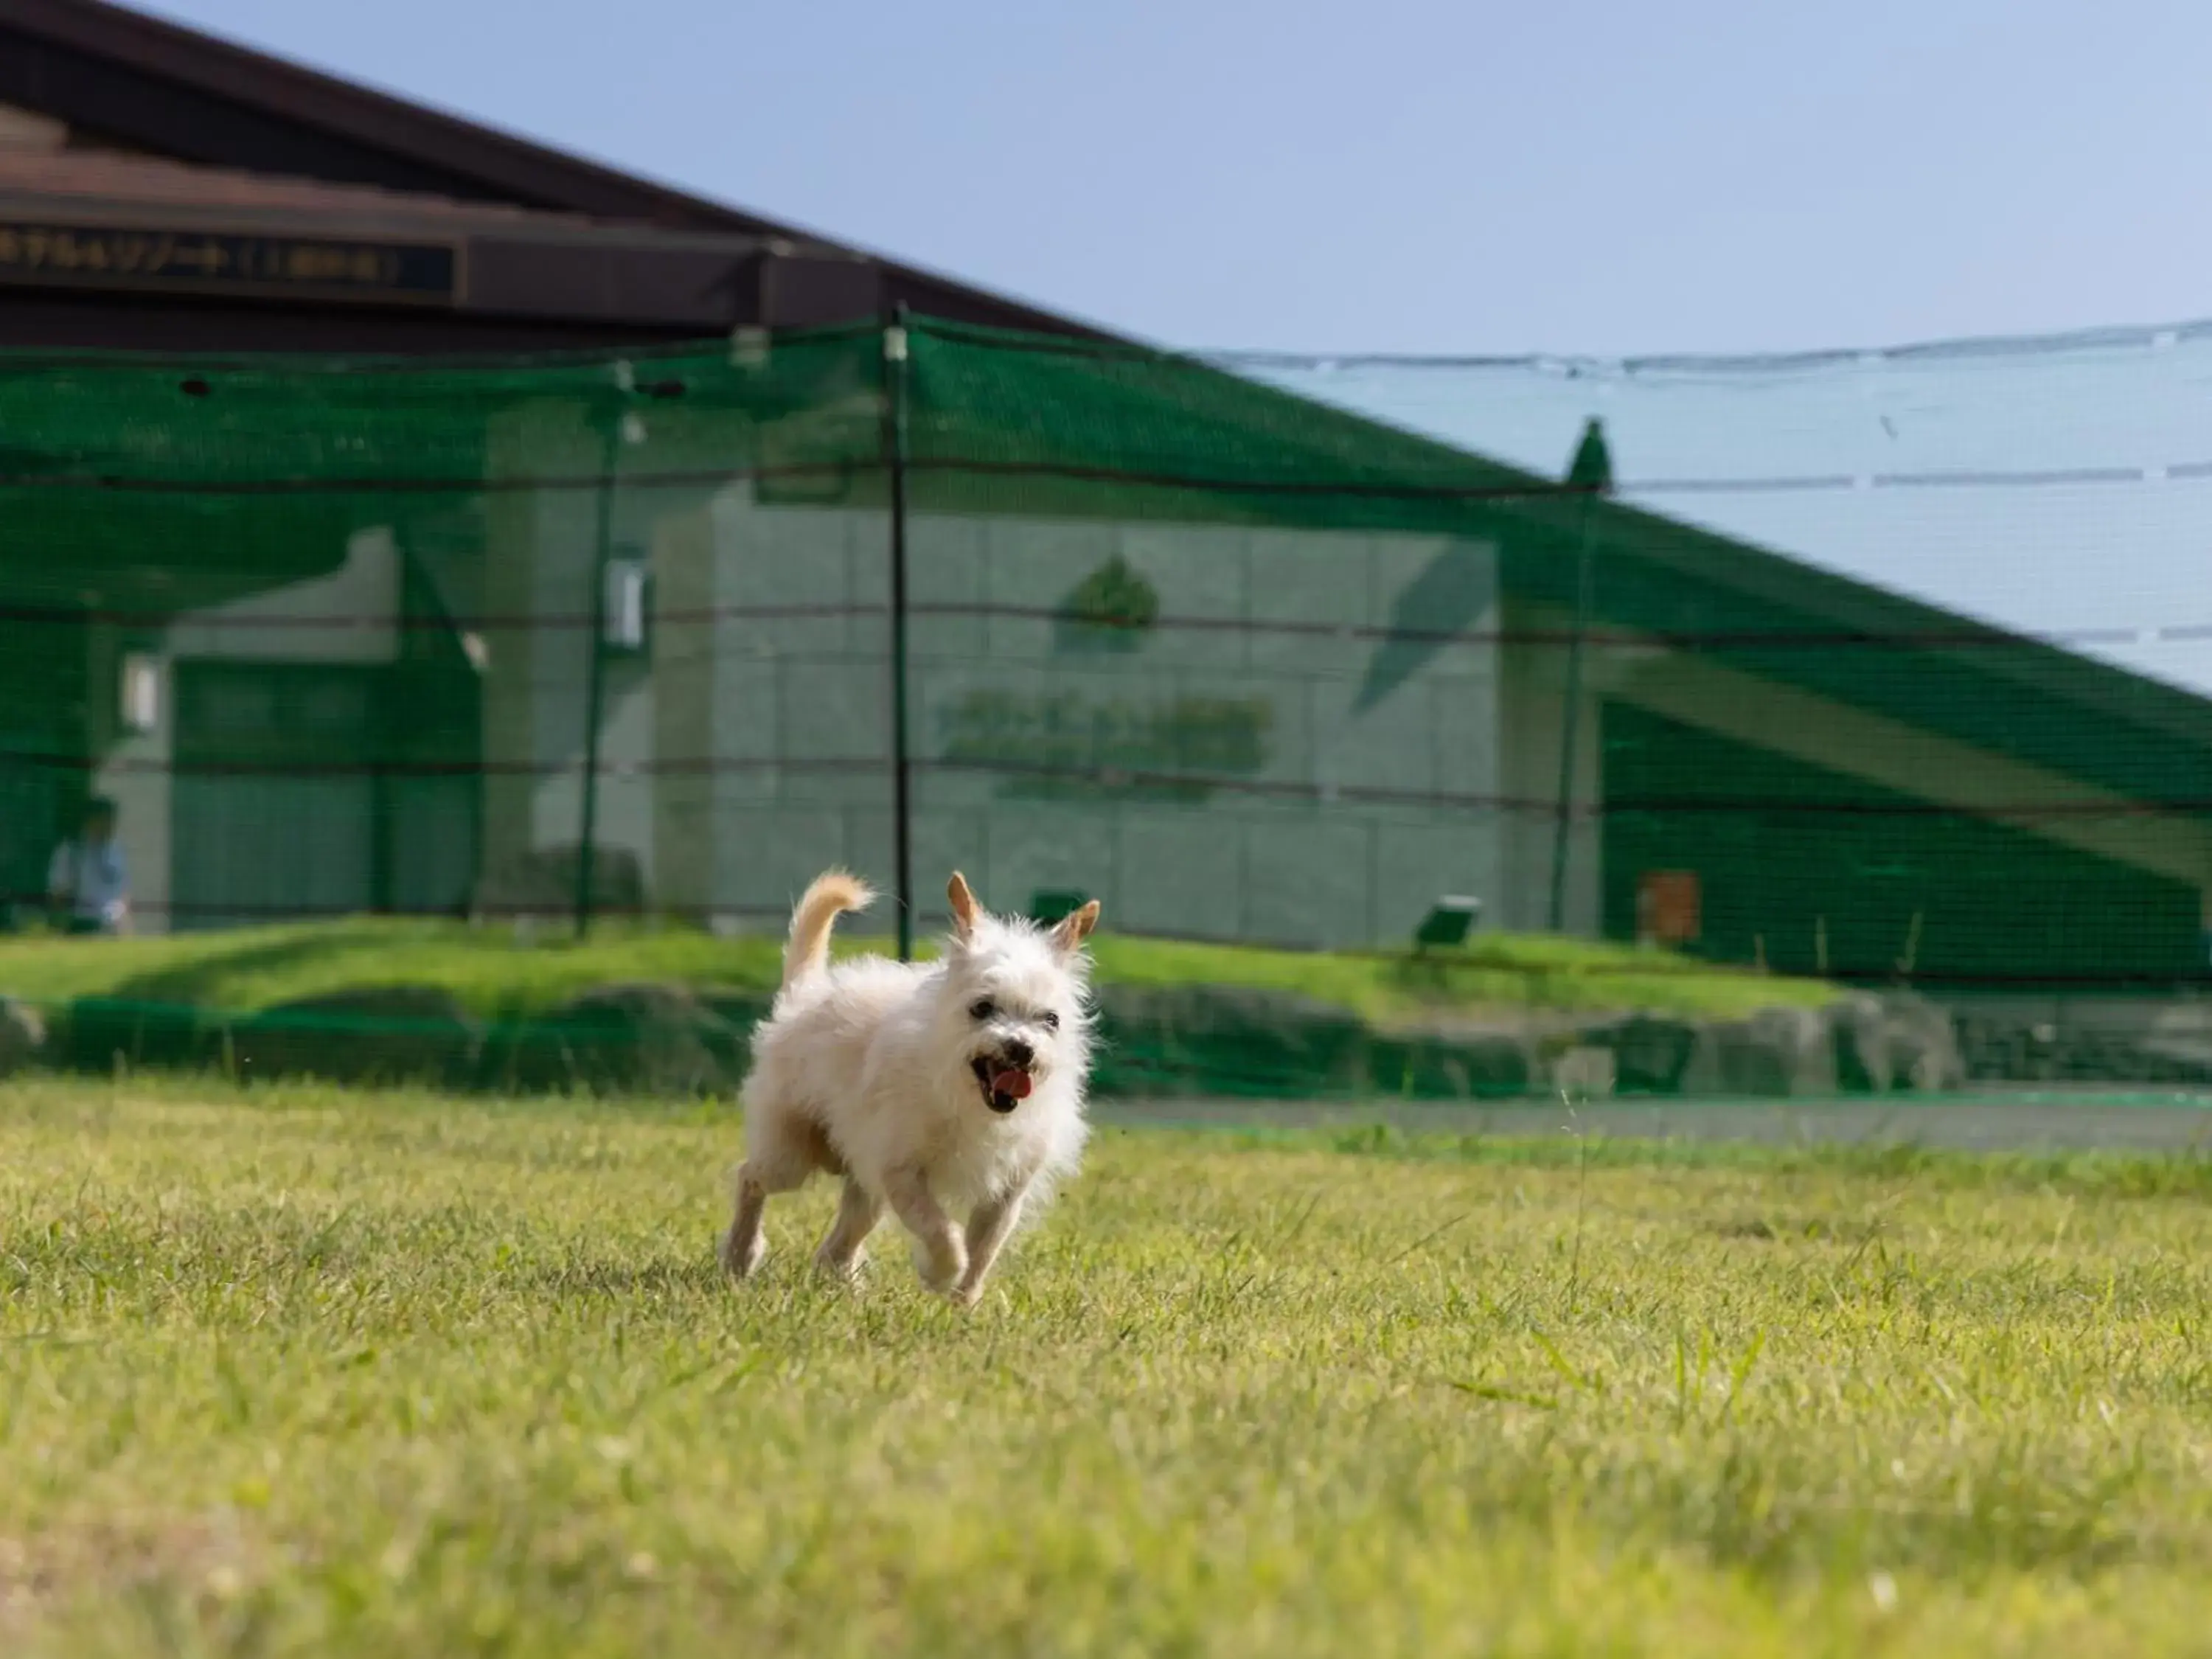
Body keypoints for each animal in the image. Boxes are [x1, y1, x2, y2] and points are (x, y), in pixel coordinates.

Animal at [721, 872, 1102, 1310]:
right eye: (982, 1008)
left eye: (1051, 1020)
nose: (1022, 1048)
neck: (970, 1101)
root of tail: (805, 994)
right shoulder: (901, 1173)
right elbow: (942, 1231)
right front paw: (941, 1274)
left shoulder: (1005, 1194)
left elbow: (982, 1251)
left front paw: (963, 1304)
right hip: (793, 1155)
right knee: (750, 1178)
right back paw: (740, 1256)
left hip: (864, 1182)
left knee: (839, 1241)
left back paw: (842, 1285)